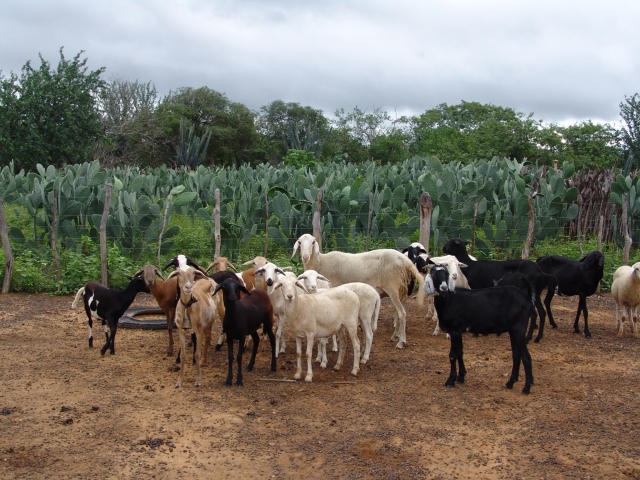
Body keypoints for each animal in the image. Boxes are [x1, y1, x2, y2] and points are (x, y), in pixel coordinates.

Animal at [292, 233, 424, 348]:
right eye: (299, 242)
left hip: (392, 287)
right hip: (400, 290)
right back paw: (395, 336)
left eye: (313, 242)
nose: (305, 257)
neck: (321, 263)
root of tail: (405, 260)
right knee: (398, 313)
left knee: (402, 313)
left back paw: (401, 342)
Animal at [424, 262, 536, 394]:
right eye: (434, 274)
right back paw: (510, 383)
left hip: (519, 329)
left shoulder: (454, 329)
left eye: (446, 273)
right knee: (516, 354)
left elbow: (453, 354)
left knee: (526, 357)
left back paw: (526, 388)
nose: (444, 287)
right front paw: (461, 376)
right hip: (513, 330)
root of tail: (526, 297)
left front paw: (450, 380)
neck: (449, 299)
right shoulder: (458, 331)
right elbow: (460, 352)